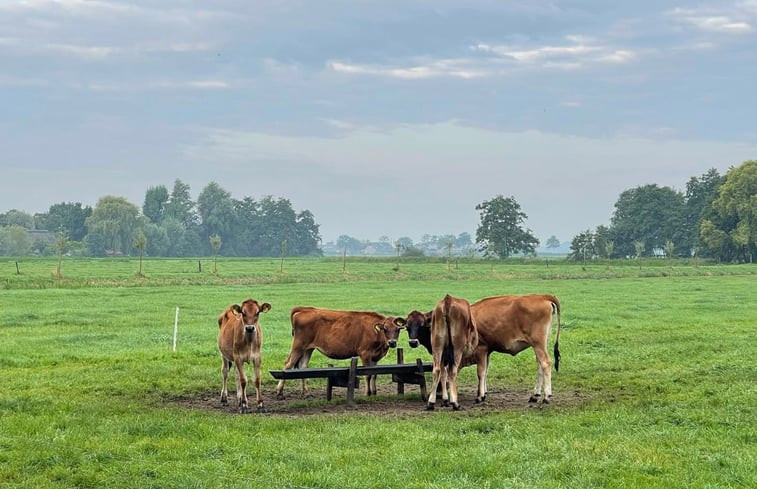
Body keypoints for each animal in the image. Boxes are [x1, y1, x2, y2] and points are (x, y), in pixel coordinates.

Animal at [276, 306, 408, 398]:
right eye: (385, 329)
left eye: (398, 329)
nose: (392, 342)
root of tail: (304, 309)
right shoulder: (365, 354)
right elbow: (368, 375)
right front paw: (368, 393)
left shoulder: (376, 357)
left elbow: (374, 374)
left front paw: (374, 392)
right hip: (299, 346)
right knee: (288, 364)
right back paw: (279, 392)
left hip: (308, 348)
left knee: (303, 366)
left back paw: (306, 393)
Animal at [408, 294, 560, 404]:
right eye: (408, 326)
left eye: (421, 325)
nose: (412, 342)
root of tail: (543, 297)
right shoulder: (487, 352)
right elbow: (485, 372)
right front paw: (483, 392)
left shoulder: (481, 349)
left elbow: (480, 373)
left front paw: (479, 396)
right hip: (539, 345)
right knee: (540, 366)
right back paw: (535, 395)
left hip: (538, 344)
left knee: (545, 363)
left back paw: (546, 396)